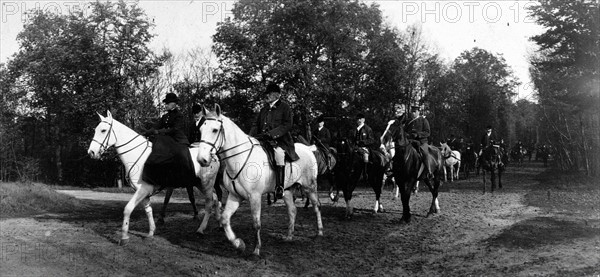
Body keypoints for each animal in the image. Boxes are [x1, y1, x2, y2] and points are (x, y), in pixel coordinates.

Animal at [88, 110, 221, 244]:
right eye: (95, 130)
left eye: (103, 130)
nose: (91, 152)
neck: (138, 153)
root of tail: (213, 155)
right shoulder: (143, 191)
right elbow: (148, 211)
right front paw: (151, 232)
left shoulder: (143, 189)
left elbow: (128, 208)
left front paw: (124, 237)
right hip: (199, 184)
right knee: (215, 199)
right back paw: (219, 222)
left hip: (206, 184)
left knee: (209, 203)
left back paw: (201, 229)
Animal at [197, 104, 324, 256]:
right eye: (201, 130)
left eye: (215, 130)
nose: (202, 160)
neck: (240, 157)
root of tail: (308, 149)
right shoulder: (235, 196)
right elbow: (225, 219)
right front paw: (239, 244)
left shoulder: (255, 196)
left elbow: (256, 223)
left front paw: (256, 249)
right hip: (287, 190)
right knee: (292, 210)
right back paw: (289, 236)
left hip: (309, 187)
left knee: (316, 206)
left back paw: (319, 232)